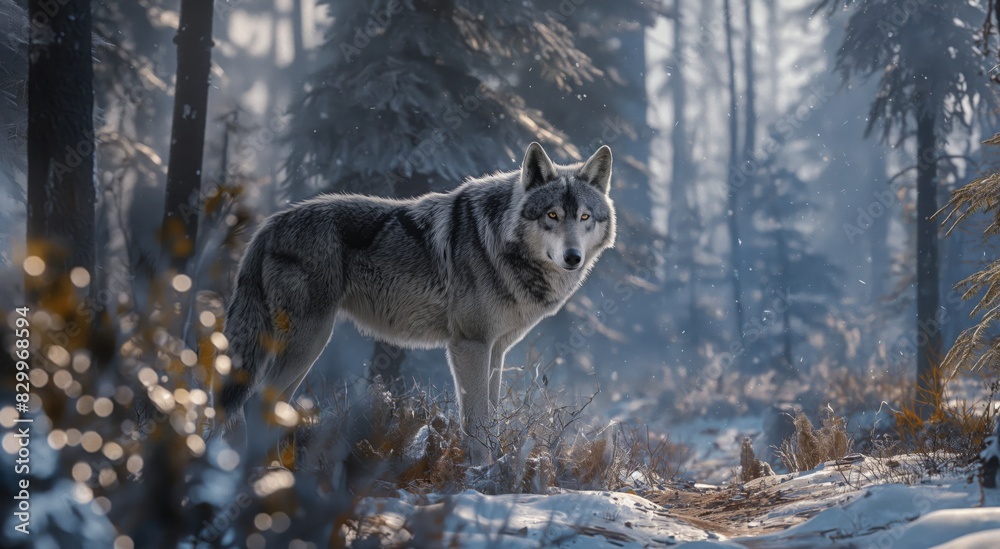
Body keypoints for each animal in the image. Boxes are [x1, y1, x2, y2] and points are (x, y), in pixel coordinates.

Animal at [220, 142, 616, 464]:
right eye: (552, 215)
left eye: (584, 217)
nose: (573, 257)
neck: (500, 242)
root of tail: (267, 226)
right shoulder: (469, 345)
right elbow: (476, 420)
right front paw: (481, 473)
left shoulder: (496, 350)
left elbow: (490, 415)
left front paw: (497, 467)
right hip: (312, 340)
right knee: (256, 404)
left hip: (306, 346)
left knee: (271, 407)